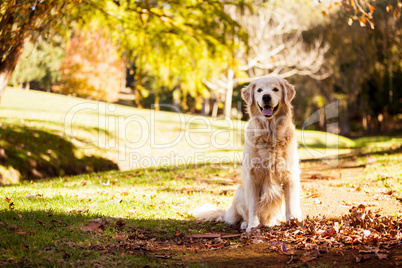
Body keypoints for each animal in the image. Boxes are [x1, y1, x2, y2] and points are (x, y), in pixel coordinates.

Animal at [192, 76, 302, 231]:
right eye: (259, 90)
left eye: (275, 89)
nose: (266, 97)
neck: (269, 135)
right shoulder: (252, 176)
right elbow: (253, 206)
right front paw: (253, 226)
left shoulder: (290, 175)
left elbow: (291, 205)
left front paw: (292, 222)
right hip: (239, 192)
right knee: (240, 216)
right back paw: (245, 223)